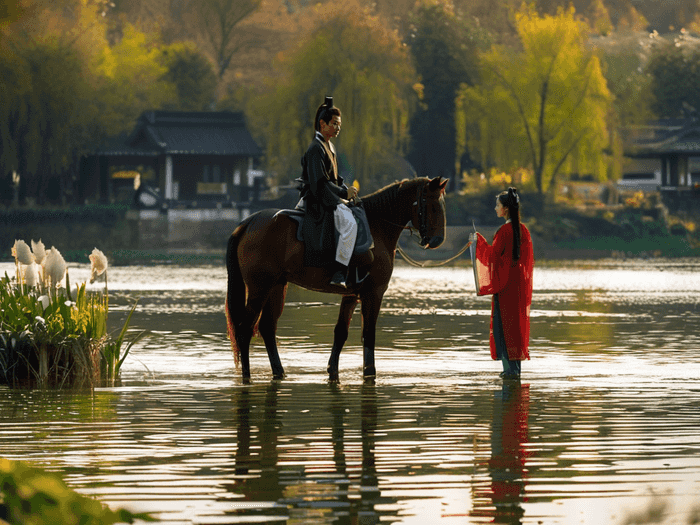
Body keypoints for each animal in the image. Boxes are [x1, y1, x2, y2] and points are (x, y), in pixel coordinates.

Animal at [227, 174, 452, 378]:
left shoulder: (351, 294)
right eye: (433, 206)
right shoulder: (373, 293)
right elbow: (368, 334)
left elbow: (341, 332)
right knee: (244, 330)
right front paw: (369, 372)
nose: (438, 240)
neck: (377, 226)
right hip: (260, 289)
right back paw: (247, 375)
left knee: (266, 327)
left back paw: (278, 372)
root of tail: (249, 221)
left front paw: (332, 370)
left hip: (276, 287)